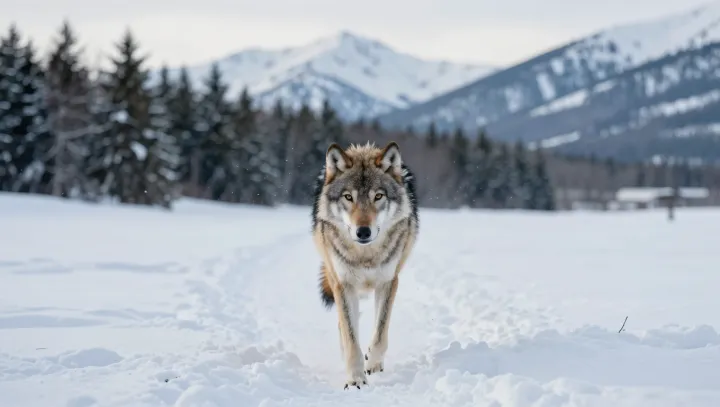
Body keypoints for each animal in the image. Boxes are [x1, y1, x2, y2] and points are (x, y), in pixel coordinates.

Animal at [311, 141, 419, 390]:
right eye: (348, 197)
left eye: (378, 196)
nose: (363, 232)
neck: (365, 255)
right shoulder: (343, 284)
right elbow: (351, 338)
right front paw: (355, 378)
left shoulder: (389, 282)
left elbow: (380, 334)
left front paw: (373, 364)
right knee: (344, 327)